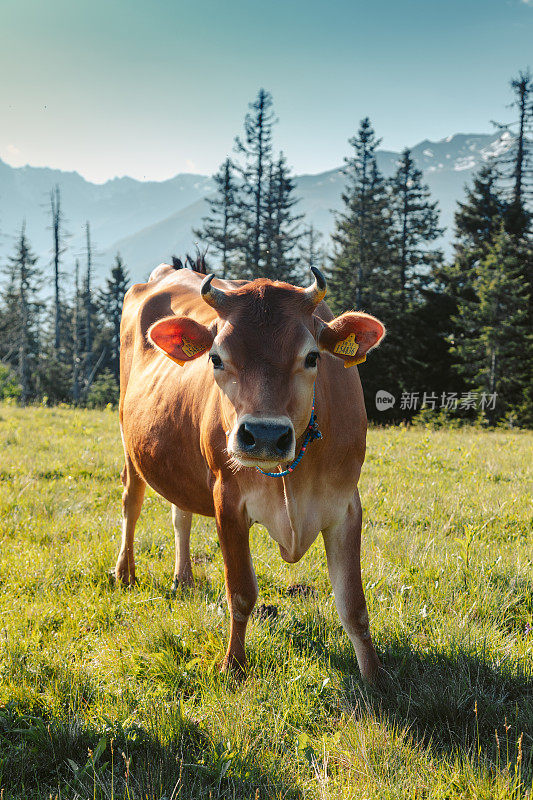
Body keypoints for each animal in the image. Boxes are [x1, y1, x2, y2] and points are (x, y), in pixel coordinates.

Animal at [114, 262, 384, 680]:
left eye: (312, 357)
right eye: (215, 358)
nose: (265, 435)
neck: (290, 478)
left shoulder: (345, 505)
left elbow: (353, 605)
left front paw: (374, 679)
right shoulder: (228, 500)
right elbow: (241, 593)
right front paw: (234, 665)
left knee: (180, 514)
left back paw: (183, 578)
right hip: (131, 442)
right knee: (132, 501)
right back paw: (125, 572)